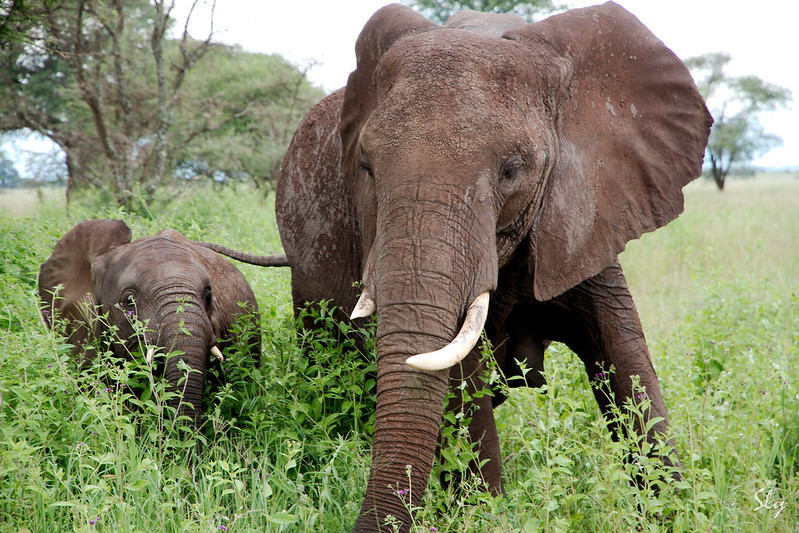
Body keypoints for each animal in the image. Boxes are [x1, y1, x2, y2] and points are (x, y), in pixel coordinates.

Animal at [276, 3, 712, 528]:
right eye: (365, 167)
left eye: (512, 170)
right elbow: (461, 373)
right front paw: (483, 514)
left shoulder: (586, 208)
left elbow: (622, 351)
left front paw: (677, 511)